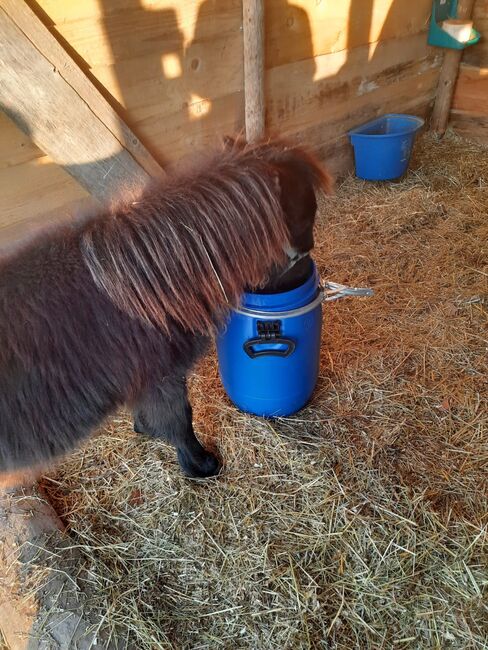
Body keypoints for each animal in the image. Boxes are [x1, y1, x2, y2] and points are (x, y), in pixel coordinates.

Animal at [0, 137, 332, 484]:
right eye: (304, 219)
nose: (307, 275)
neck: (139, 291)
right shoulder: (161, 379)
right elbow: (180, 420)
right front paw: (201, 465)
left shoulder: (142, 384)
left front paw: (145, 429)